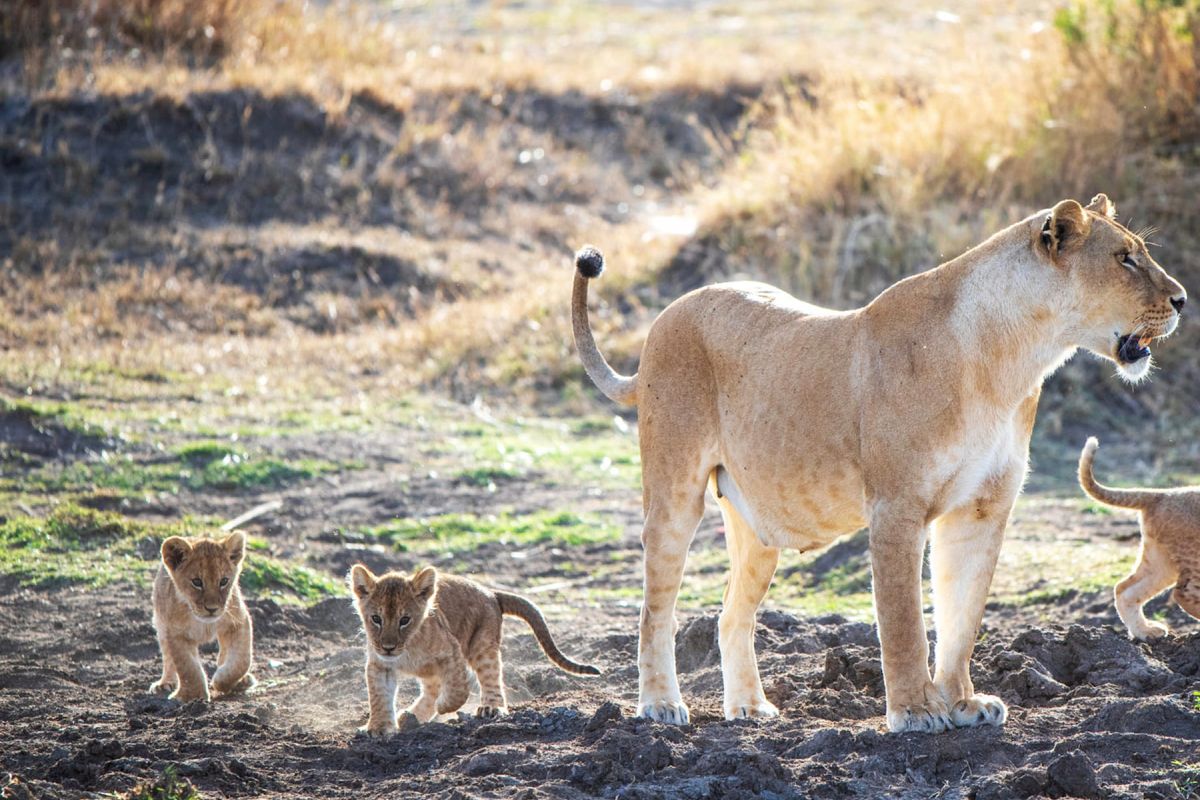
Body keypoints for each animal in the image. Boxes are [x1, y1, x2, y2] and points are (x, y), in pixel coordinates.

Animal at [150, 531, 255, 702]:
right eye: (197, 582)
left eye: (224, 581)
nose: (212, 609)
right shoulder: (175, 633)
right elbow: (188, 668)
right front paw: (193, 696)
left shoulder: (239, 622)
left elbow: (241, 661)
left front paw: (222, 681)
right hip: (160, 624)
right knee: (167, 657)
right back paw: (165, 683)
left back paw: (242, 681)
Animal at [348, 564, 600, 735]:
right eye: (376, 618)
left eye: (404, 620)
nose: (388, 647)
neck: (407, 647)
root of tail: (491, 592)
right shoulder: (380, 665)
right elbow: (379, 696)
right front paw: (378, 728)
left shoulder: (452, 651)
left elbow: (459, 690)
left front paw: (445, 706)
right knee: (430, 689)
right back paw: (411, 716)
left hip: (482, 644)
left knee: (490, 676)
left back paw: (491, 708)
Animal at [571, 194, 1185, 732]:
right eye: (1124, 258)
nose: (1181, 300)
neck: (1013, 360)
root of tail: (669, 313)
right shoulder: (897, 506)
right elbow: (904, 620)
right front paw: (915, 713)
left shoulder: (983, 509)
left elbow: (963, 615)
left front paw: (963, 703)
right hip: (674, 493)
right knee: (656, 608)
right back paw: (660, 705)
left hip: (756, 525)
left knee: (730, 614)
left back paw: (749, 707)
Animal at [1078, 437, 1200, 640]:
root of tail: (1161, 495)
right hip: (1192, 557)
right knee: (1184, 594)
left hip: (1161, 561)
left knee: (1124, 589)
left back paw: (1145, 631)